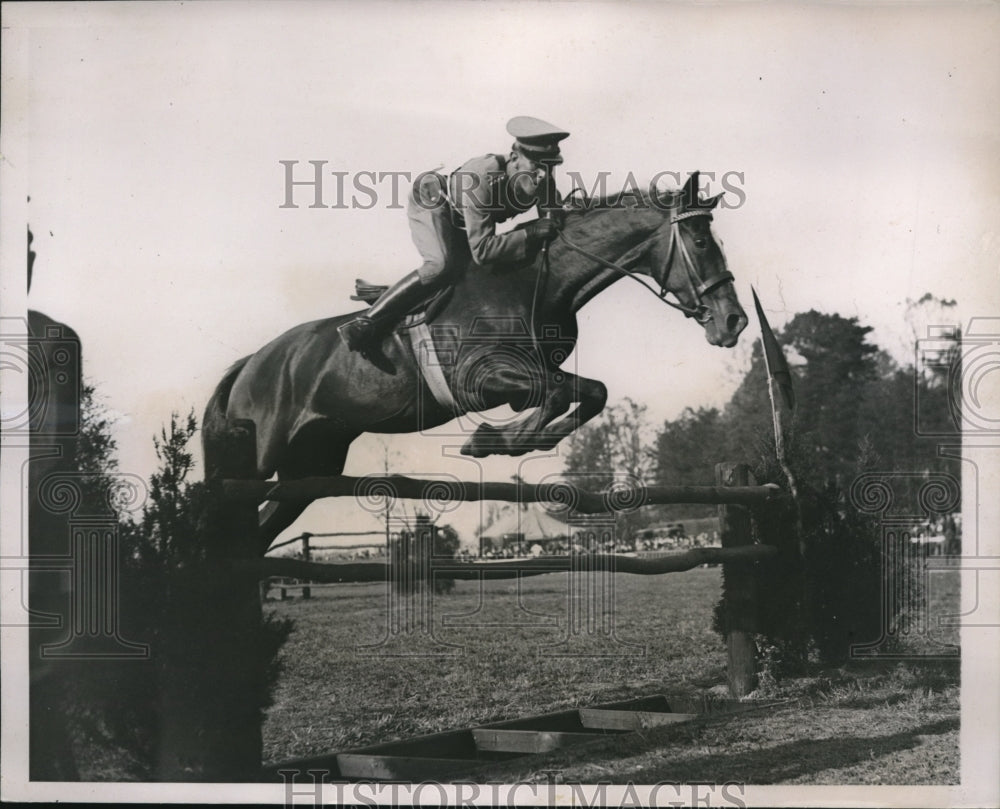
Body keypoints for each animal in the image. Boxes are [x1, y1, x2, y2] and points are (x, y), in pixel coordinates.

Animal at [203, 170, 748, 548]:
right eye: (703, 242)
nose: (734, 322)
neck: (535, 281)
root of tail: (250, 364)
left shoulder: (531, 374)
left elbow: (591, 392)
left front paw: (503, 440)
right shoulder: (484, 380)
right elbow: (559, 395)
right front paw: (489, 440)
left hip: (306, 470)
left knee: (262, 529)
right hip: (261, 455)